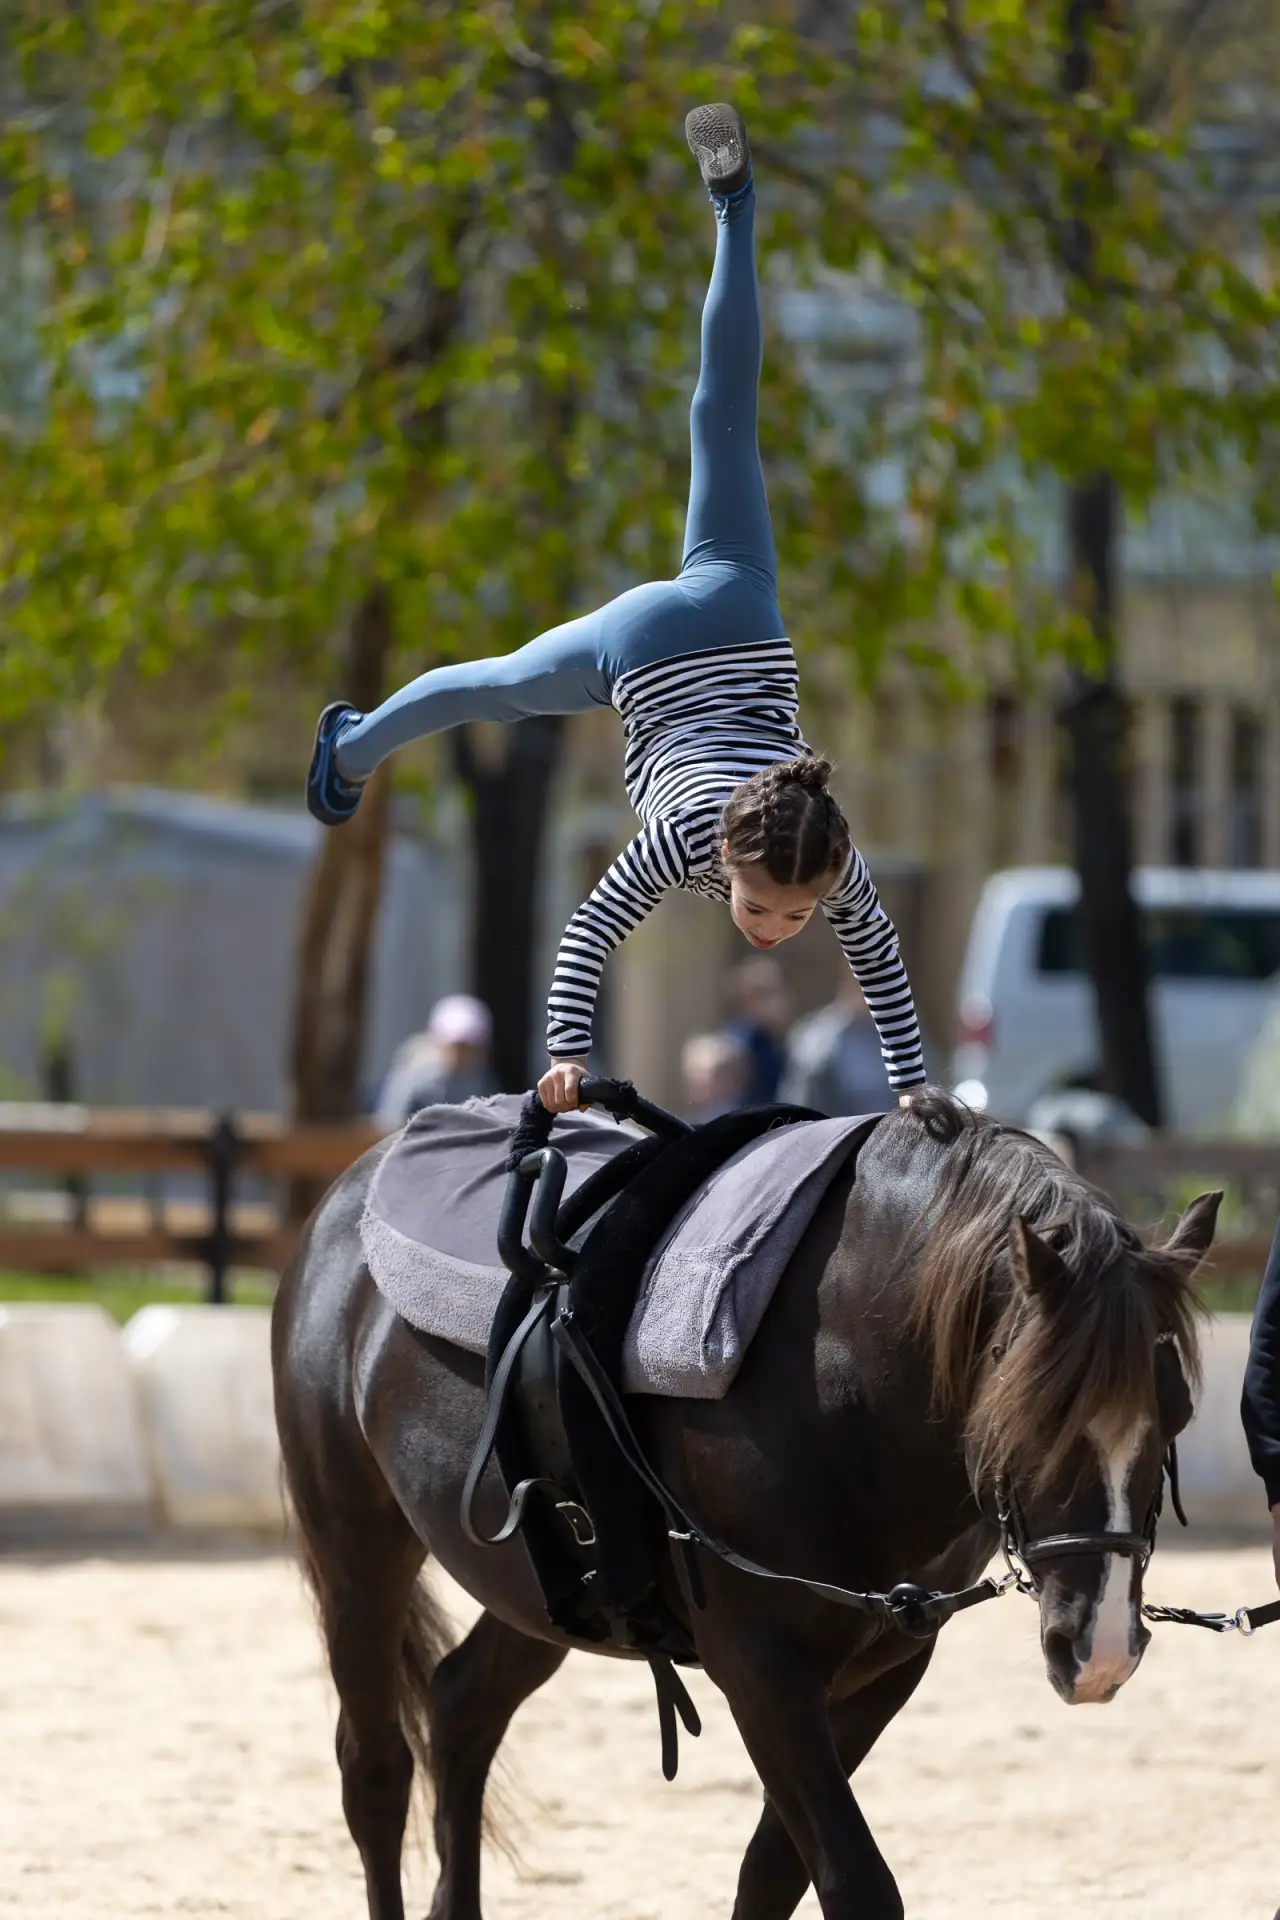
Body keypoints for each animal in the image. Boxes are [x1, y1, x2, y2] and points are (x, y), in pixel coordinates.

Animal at [271, 1090, 1216, 1920]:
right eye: (1035, 1414)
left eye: (1175, 1415)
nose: (1098, 1651)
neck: (843, 1375)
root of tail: (351, 1195)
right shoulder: (761, 1665)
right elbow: (854, 1882)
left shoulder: (886, 1666)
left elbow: (774, 1872)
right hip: (357, 1547)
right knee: (375, 1772)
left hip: (550, 1587)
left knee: (462, 1707)